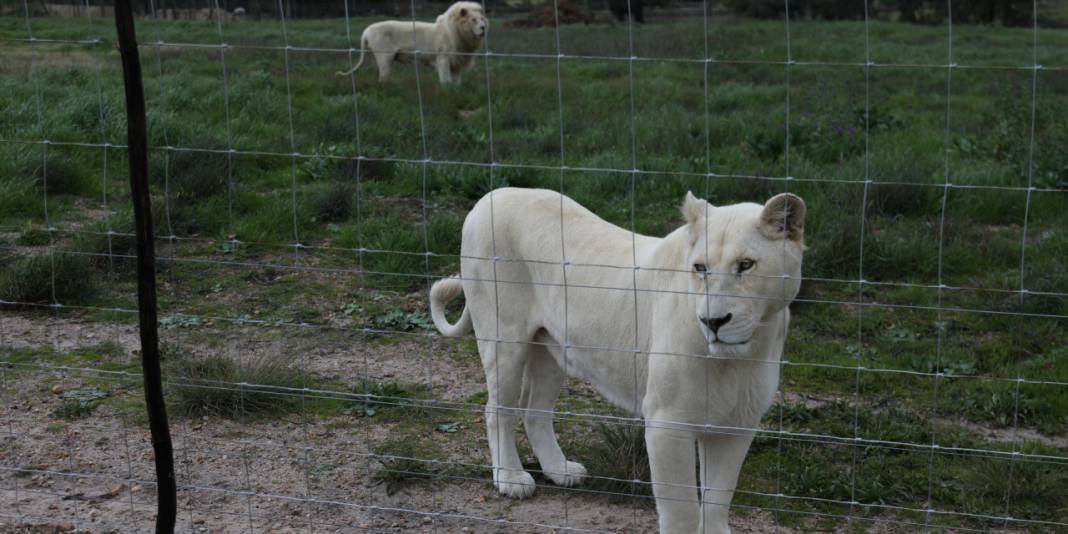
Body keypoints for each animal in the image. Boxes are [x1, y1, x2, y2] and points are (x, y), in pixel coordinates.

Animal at [335, 1, 489, 84]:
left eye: (482, 19)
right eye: (473, 20)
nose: (483, 28)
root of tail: (366, 30)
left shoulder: (456, 62)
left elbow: (456, 83)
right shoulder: (443, 59)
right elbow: (446, 81)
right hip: (385, 57)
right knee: (382, 79)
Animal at [429, 187, 803, 534]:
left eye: (746, 265)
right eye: (700, 268)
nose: (713, 322)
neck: (741, 357)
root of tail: (490, 196)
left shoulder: (737, 424)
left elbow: (716, 501)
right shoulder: (667, 423)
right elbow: (681, 510)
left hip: (549, 348)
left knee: (535, 411)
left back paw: (560, 470)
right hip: (503, 338)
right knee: (498, 410)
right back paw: (511, 479)